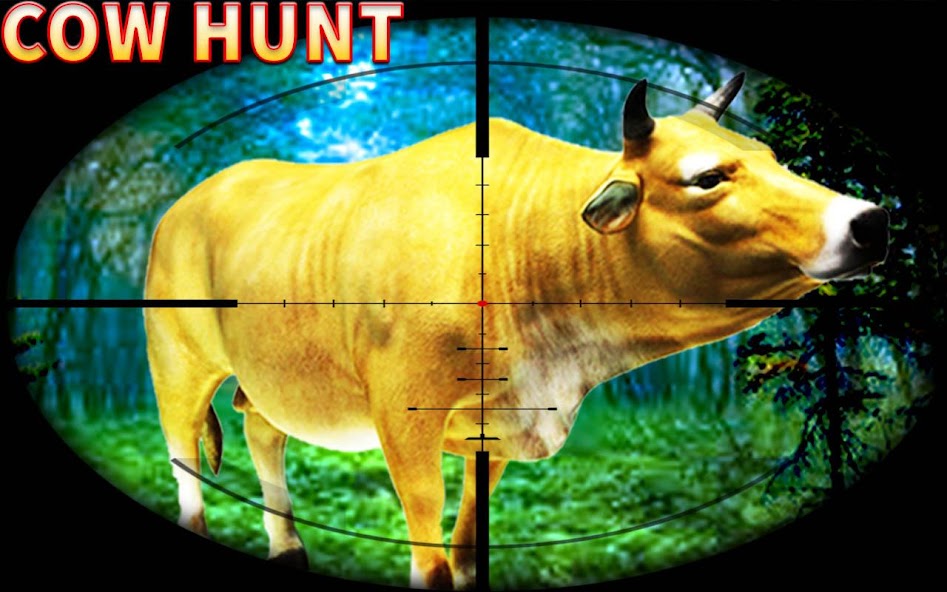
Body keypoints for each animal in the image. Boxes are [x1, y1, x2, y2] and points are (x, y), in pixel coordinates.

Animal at [143, 74, 888, 589]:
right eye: (706, 177)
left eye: (773, 157)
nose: (868, 220)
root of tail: (190, 200)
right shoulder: (404, 416)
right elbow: (432, 555)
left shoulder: (497, 426)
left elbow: (470, 549)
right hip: (176, 361)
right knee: (183, 454)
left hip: (278, 379)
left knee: (262, 431)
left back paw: (289, 547)